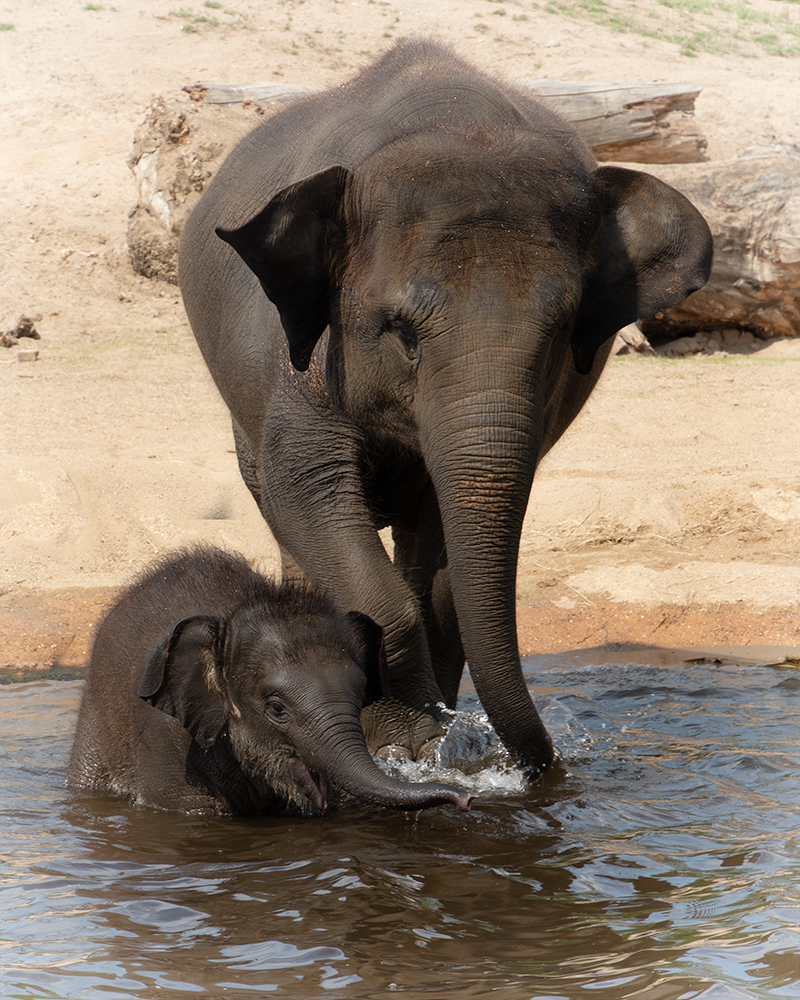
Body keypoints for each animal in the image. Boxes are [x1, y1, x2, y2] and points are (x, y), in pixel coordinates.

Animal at [181, 41, 712, 780]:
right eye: (401, 330)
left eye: (563, 331)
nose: (541, 766)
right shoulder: (303, 358)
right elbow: (306, 487)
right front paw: (408, 746)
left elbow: (440, 569)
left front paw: (438, 749)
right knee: (282, 511)